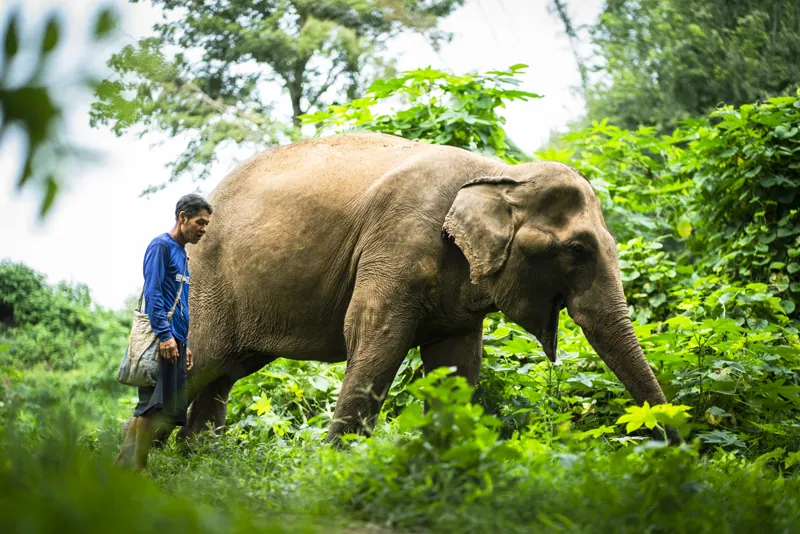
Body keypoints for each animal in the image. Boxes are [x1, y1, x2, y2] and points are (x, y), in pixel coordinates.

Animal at [163, 132, 670, 444]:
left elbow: (456, 365)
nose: (675, 444)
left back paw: (197, 463)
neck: (501, 173)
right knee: (200, 363)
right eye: (578, 250)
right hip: (202, 285)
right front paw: (335, 467)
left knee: (222, 375)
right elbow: (375, 340)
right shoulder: (398, 241)